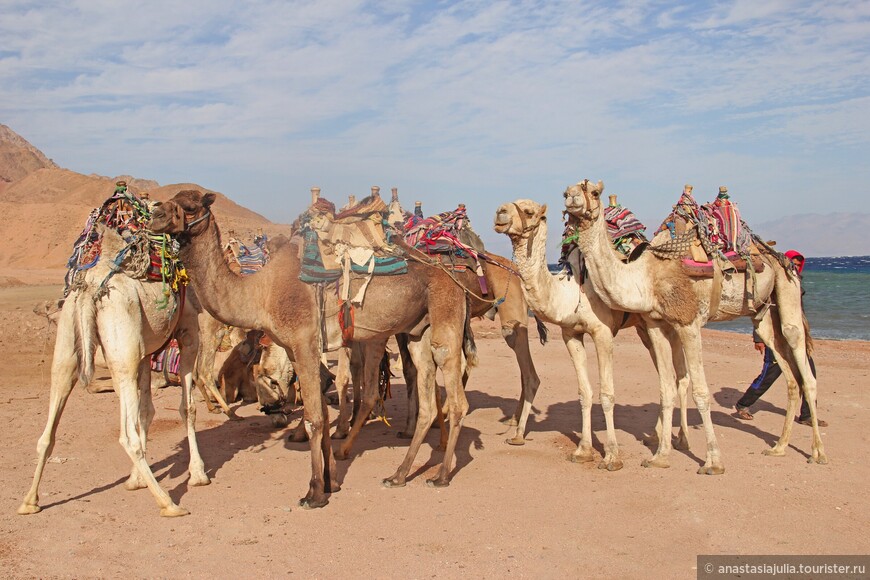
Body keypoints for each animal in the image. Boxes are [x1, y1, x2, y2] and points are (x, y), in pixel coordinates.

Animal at [18, 224, 213, 516]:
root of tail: (88, 290)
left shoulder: (144, 350)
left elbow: (146, 411)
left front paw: (135, 479)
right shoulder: (188, 332)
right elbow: (187, 407)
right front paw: (198, 474)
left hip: (71, 343)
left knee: (48, 429)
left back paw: (30, 501)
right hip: (122, 335)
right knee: (127, 437)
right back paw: (168, 503)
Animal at [148, 188, 476, 506]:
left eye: (190, 206)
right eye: (171, 200)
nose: (155, 214)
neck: (260, 293)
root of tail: (456, 279)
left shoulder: (303, 342)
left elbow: (314, 419)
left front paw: (315, 492)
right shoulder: (294, 349)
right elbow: (322, 412)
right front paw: (331, 482)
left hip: (445, 320)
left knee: (457, 398)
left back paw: (441, 476)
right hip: (417, 333)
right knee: (427, 402)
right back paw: (398, 475)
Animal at [564, 180, 828, 472]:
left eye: (593, 192)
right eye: (566, 190)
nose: (571, 198)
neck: (648, 274)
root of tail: (778, 255)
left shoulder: (688, 323)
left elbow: (701, 392)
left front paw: (713, 461)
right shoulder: (655, 324)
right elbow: (666, 388)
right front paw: (660, 456)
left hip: (788, 287)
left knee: (805, 370)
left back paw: (817, 452)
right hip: (763, 314)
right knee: (789, 373)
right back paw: (779, 447)